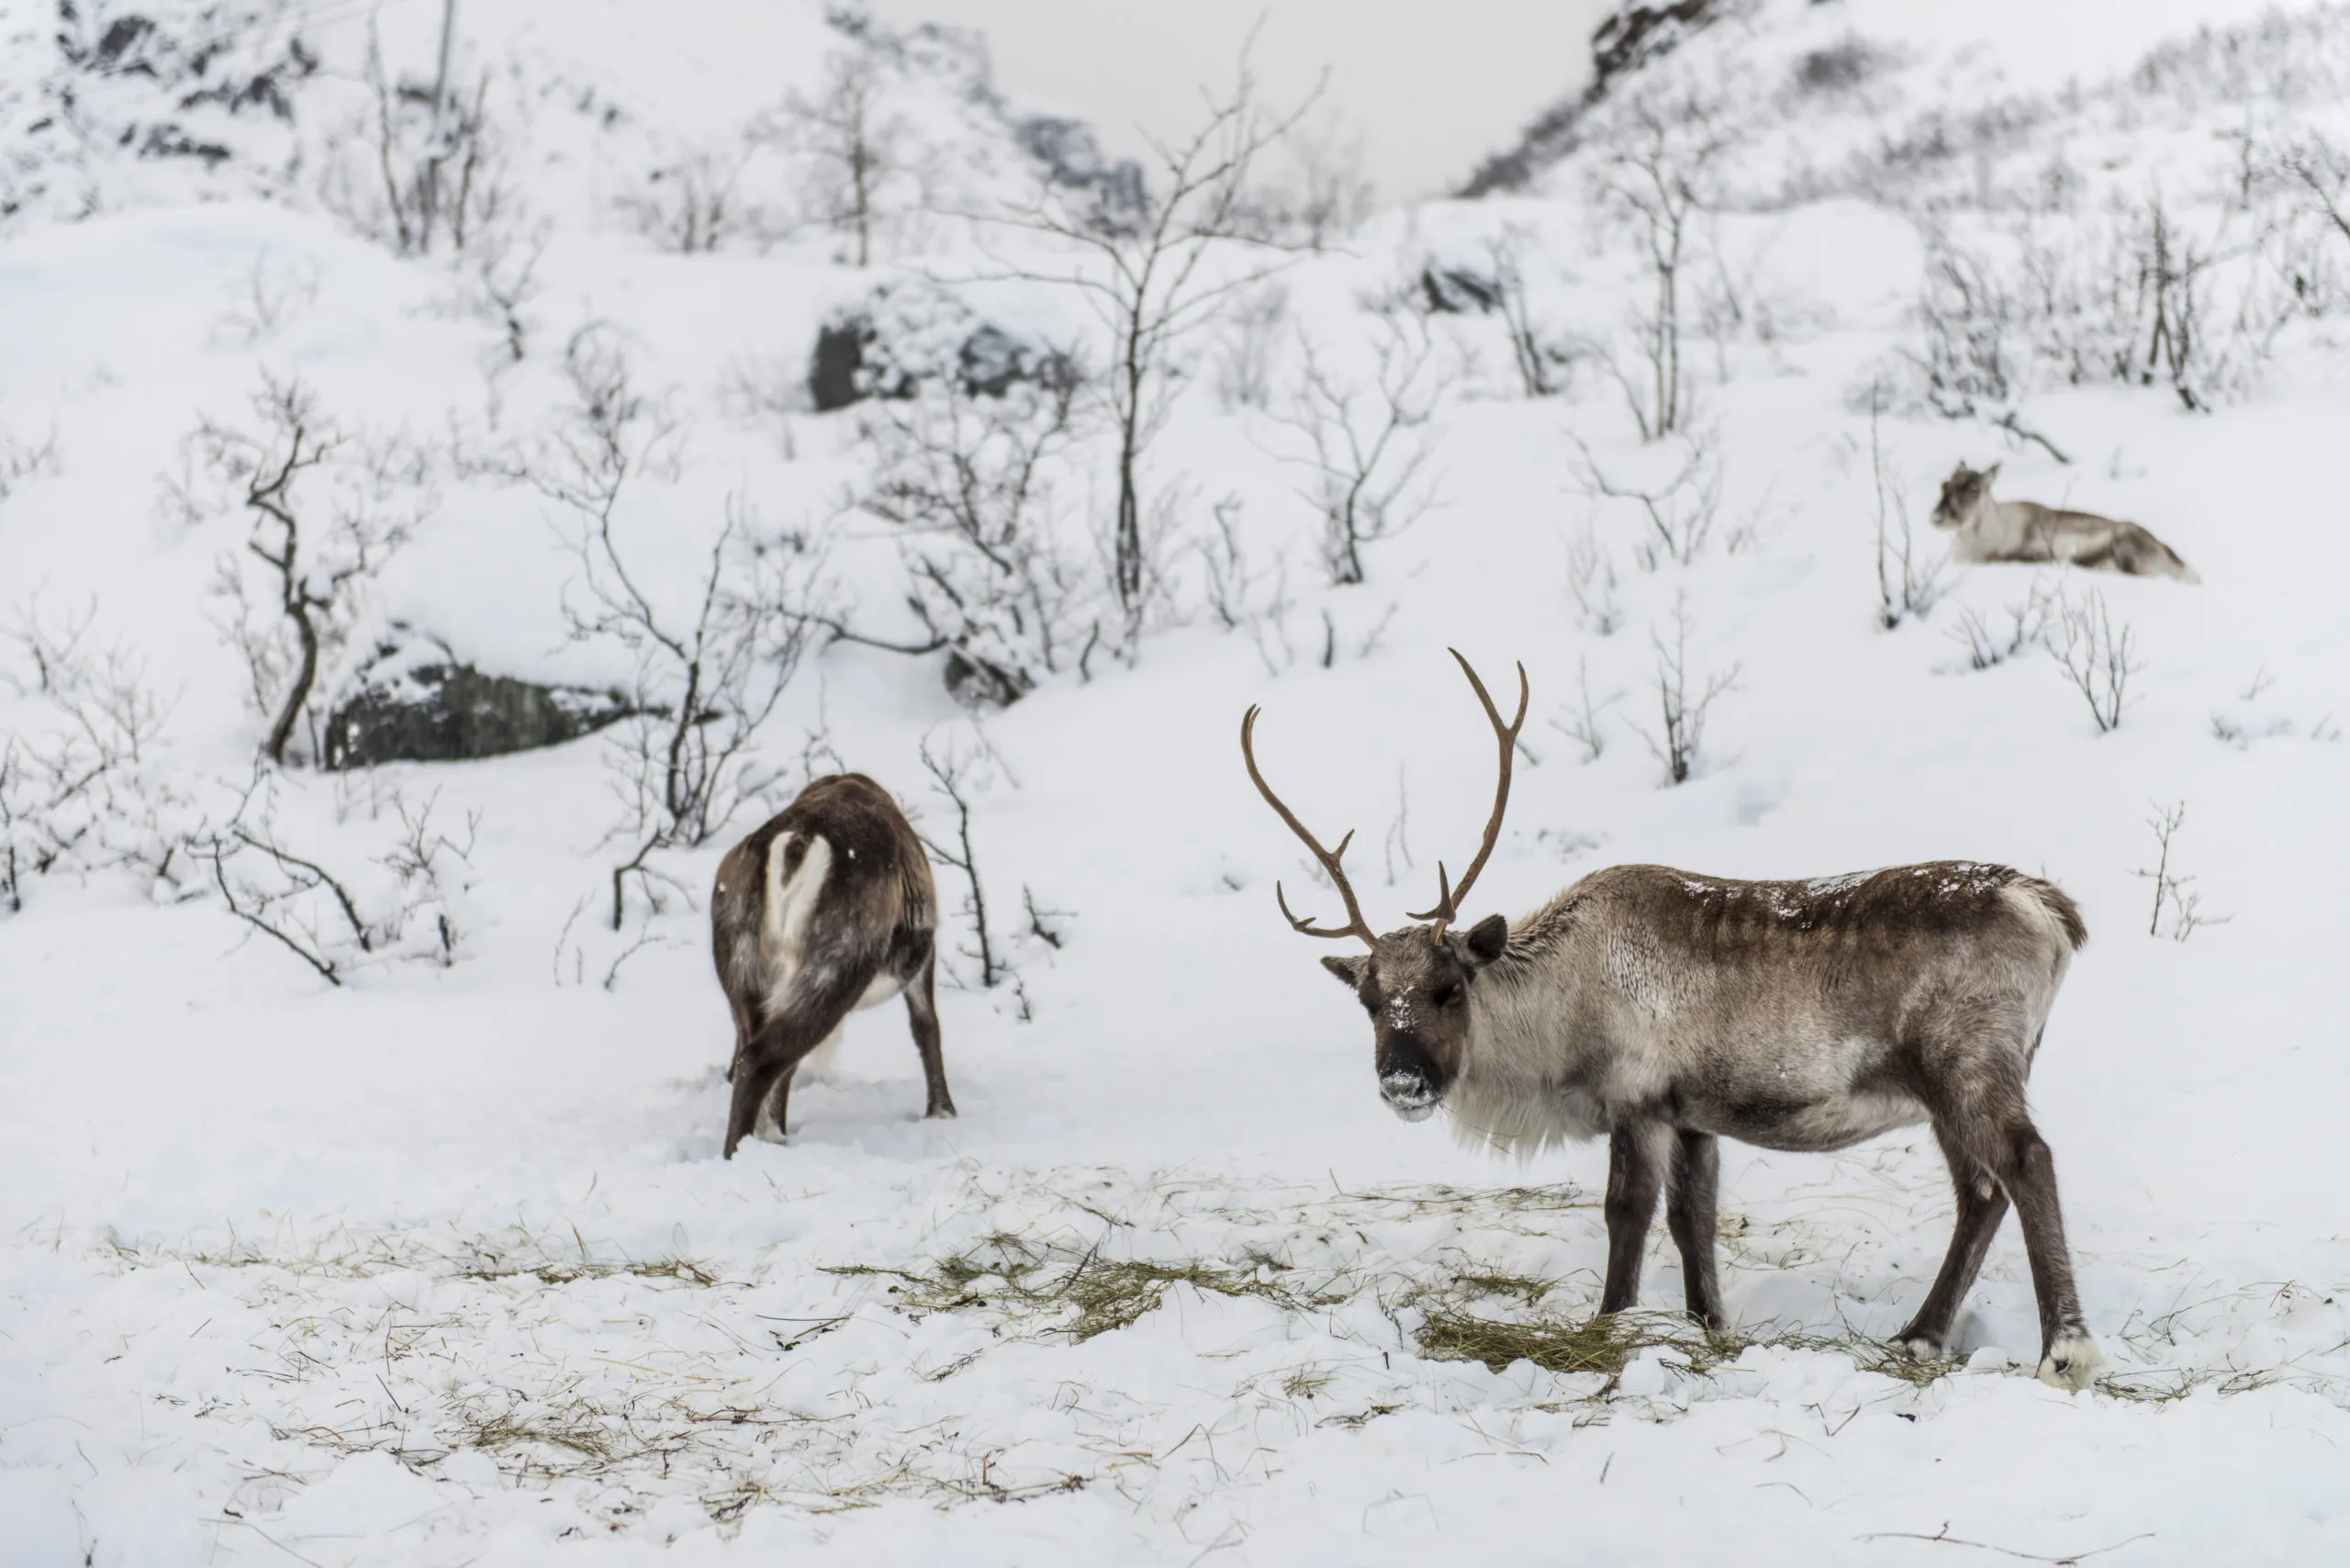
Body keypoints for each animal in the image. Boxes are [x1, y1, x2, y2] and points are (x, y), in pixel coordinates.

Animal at [710, 772, 955, 1159]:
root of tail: (796, 845)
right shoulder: (922, 957)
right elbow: (926, 1026)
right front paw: (942, 1112)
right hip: (841, 959)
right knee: (761, 1060)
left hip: (742, 958)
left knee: (752, 1053)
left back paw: (768, 1138)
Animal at [1241, 652, 2104, 1389]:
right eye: (1368, 999)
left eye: (1449, 987)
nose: (1403, 1081)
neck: (1556, 1011)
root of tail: (2050, 907)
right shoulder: (1694, 1114)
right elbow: (1696, 1222)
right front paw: (1708, 1327)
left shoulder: (1638, 1099)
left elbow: (1627, 1215)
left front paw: (1608, 1326)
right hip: (1949, 1087)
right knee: (1980, 1191)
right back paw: (1919, 1336)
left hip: (1966, 1063)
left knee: (2025, 1161)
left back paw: (2063, 1350)